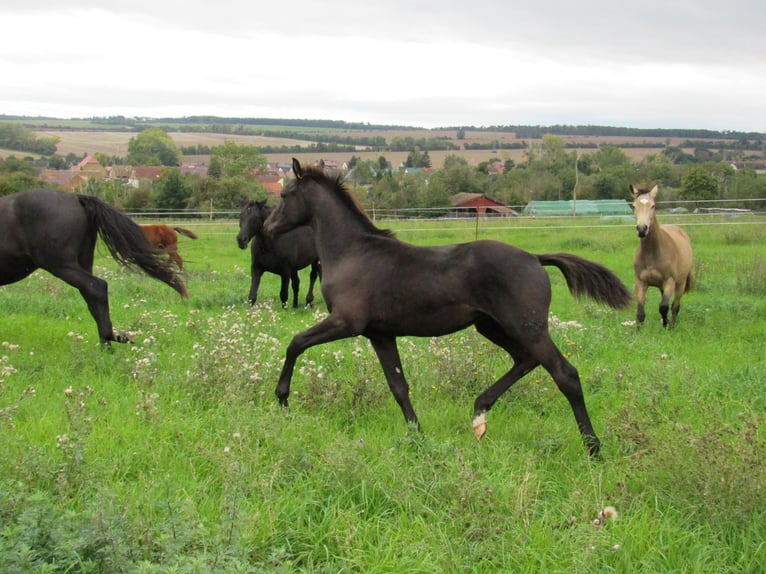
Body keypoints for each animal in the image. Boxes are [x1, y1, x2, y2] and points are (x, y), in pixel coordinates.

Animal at [0, 189, 187, 344]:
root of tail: (77, 198)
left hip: (62, 265)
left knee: (97, 287)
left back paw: (108, 340)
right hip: (81, 262)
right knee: (92, 295)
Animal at [262, 158, 632, 456]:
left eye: (284, 195)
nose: (266, 229)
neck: (352, 252)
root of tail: (534, 258)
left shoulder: (346, 322)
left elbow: (295, 343)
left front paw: (282, 397)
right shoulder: (380, 334)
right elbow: (398, 386)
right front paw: (417, 436)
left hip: (526, 327)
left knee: (564, 374)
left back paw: (593, 448)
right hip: (492, 326)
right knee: (525, 360)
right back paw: (480, 413)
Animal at [631, 184, 693, 328]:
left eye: (653, 206)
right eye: (634, 206)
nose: (642, 229)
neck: (652, 253)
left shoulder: (669, 281)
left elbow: (663, 307)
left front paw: (667, 325)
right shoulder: (641, 282)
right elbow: (640, 312)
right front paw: (638, 331)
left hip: (680, 284)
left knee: (675, 306)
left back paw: (672, 325)